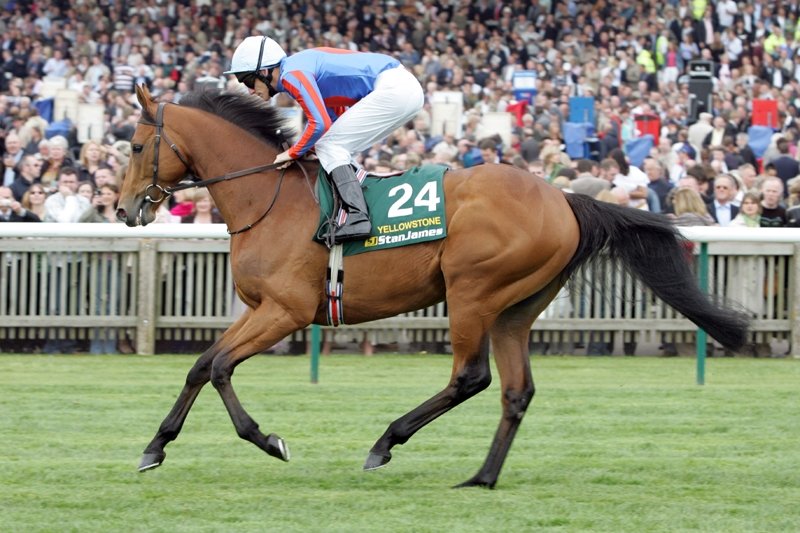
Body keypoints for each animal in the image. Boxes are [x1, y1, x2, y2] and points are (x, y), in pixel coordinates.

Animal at [117, 85, 749, 488]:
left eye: (134, 145)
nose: (124, 209)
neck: (267, 200)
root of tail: (563, 198)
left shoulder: (287, 311)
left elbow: (221, 367)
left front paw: (268, 440)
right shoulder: (259, 308)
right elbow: (202, 365)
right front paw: (154, 447)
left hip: (472, 291)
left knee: (471, 377)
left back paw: (386, 443)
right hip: (516, 308)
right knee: (516, 390)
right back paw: (482, 477)